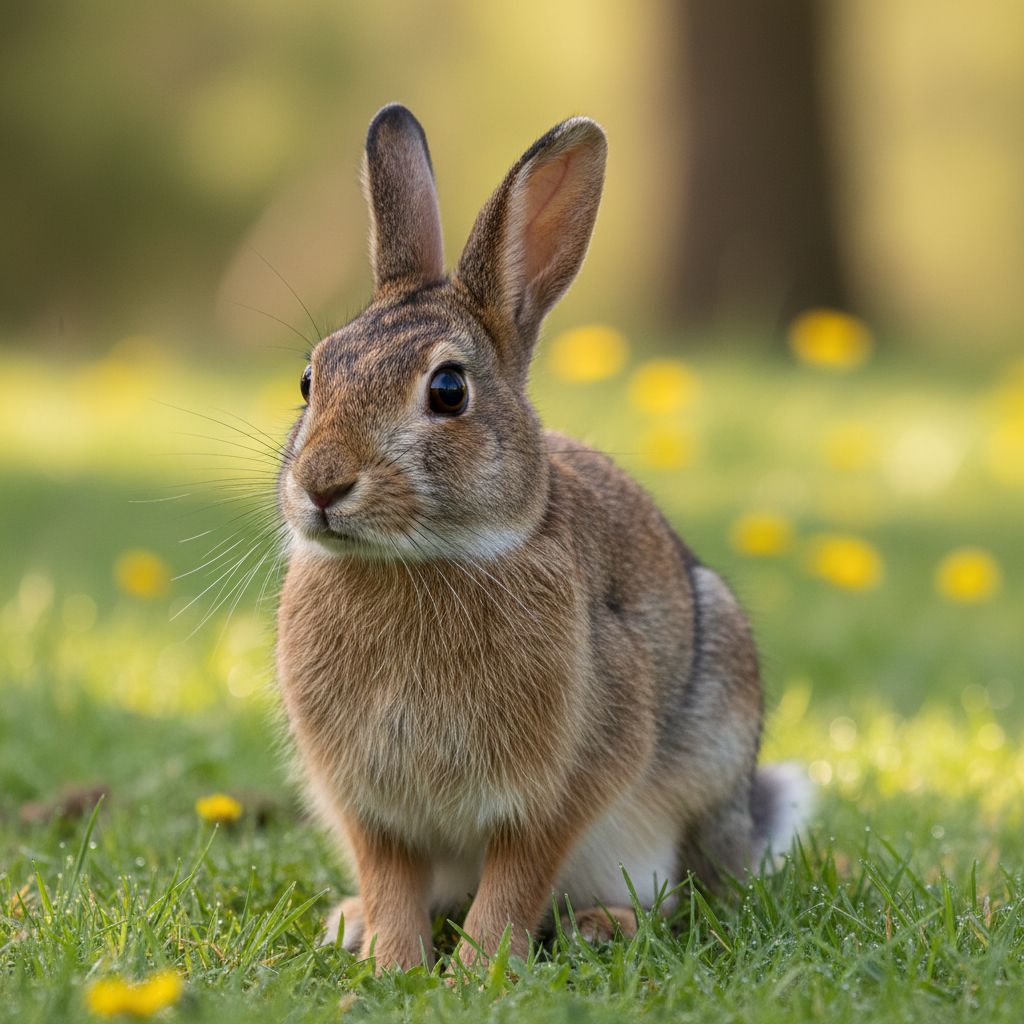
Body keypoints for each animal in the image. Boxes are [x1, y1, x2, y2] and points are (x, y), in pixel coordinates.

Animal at [275, 103, 811, 972]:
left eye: (448, 390)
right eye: (309, 380)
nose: (321, 485)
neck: (420, 560)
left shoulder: (562, 784)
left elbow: (517, 877)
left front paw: (475, 971)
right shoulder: (367, 800)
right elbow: (391, 876)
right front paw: (393, 962)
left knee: (679, 900)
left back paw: (603, 927)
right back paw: (350, 920)